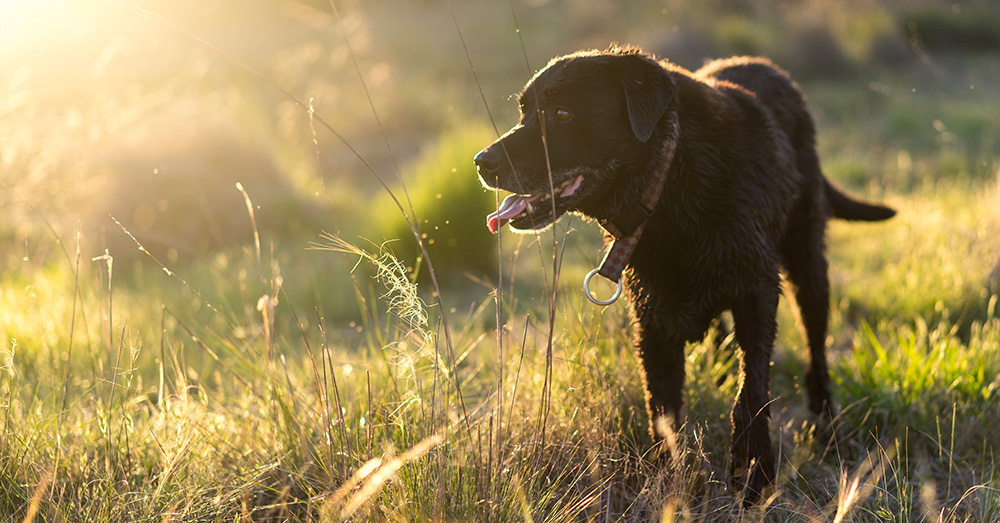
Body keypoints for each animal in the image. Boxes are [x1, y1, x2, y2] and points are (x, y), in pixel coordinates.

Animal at [472, 47, 896, 502]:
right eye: (524, 112)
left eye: (562, 113)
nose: (482, 162)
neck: (673, 181)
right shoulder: (653, 323)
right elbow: (663, 415)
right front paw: (666, 486)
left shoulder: (758, 292)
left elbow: (751, 394)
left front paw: (753, 474)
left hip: (808, 261)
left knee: (816, 347)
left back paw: (825, 422)